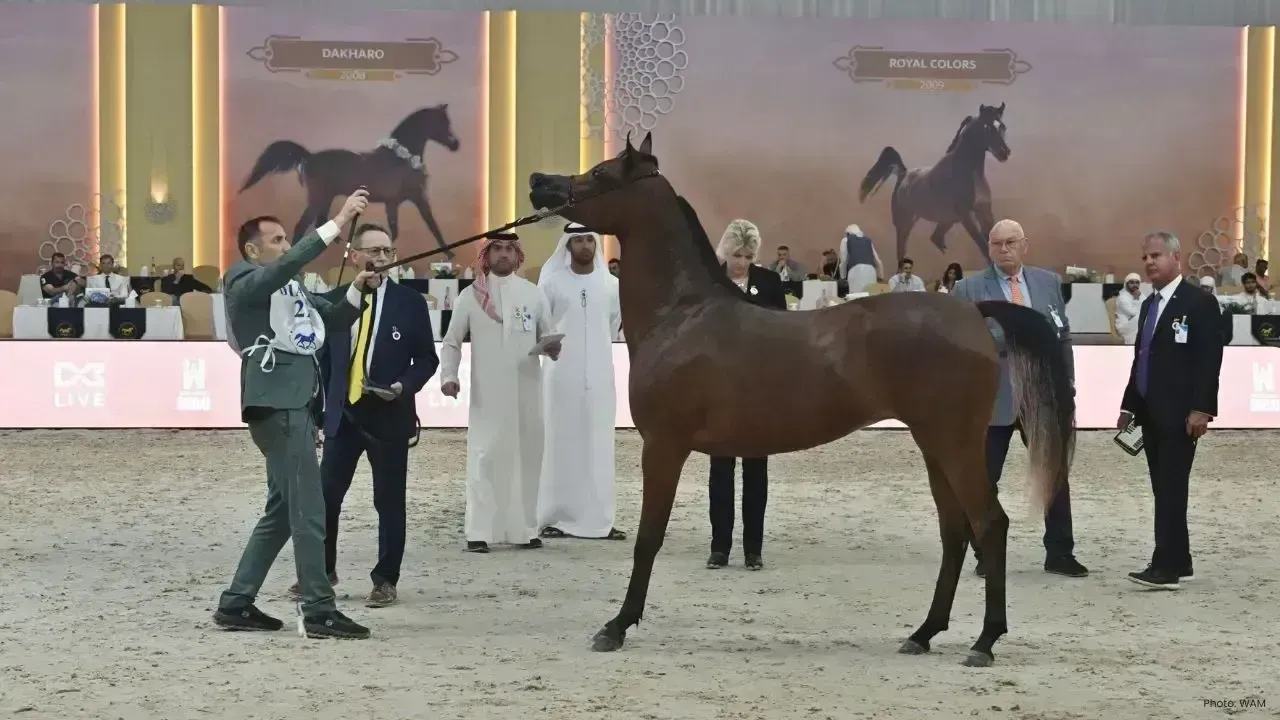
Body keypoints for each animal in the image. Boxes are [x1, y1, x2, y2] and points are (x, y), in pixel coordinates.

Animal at [239, 104, 461, 258]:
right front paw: (450, 254)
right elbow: (432, 224)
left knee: (321, 221)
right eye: (441, 123)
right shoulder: (417, 198)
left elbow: (395, 229)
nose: (456, 144)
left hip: (327, 197)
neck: (400, 158)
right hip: (317, 198)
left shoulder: (393, 203)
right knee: (302, 225)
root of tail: (309, 157)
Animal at [527, 131, 1074, 668]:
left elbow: (648, 538)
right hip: (935, 445)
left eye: (601, 173)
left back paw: (985, 641)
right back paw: (923, 633)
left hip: (954, 443)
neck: (682, 315)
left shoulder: (663, 446)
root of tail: (972, 311)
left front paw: (617, 626)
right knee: (954, 530)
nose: (538, 182)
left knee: (989, 523)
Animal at [859, 103, 1010, 268]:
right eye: (986, 127)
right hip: (904, 222)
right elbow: (983, 246)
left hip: (946, 220)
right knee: (902, 250)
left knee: (935, 238)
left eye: (1002, 126)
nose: (1004, 153)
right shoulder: (966, 216)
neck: (968, 173)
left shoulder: (984, 212)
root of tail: (903, 175)